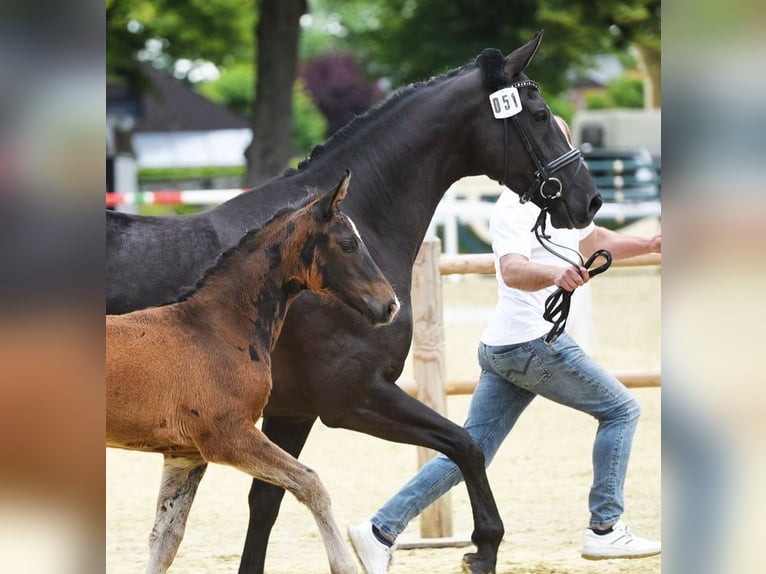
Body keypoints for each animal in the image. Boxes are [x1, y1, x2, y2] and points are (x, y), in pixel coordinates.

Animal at [105, 172, 400, 574]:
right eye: (348, 244)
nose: (390, 305)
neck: (217, 328)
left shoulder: (185, 453)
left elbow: (165, 539)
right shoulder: (229, 437)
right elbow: (310, 483)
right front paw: (345, 565)